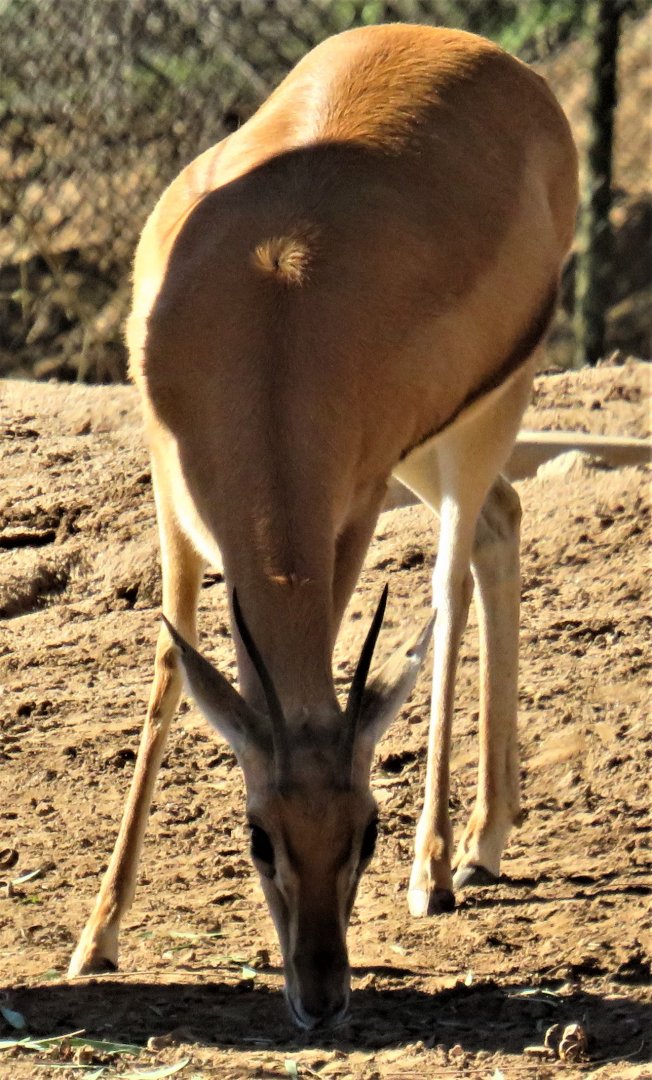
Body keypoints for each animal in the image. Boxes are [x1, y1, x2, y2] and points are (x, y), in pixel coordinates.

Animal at [69, 24, 580, 1028]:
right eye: (257, 835)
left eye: (365, 830)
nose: (321, 993)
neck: (271, 324)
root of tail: (493, 56)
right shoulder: (172, 492)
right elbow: (169, 674)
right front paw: (97, 936)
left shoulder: (351, 506)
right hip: (436, 447)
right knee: (502, 523)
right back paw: (485, 841)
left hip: (483, 415)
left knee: (451, 585)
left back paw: (443, 869)